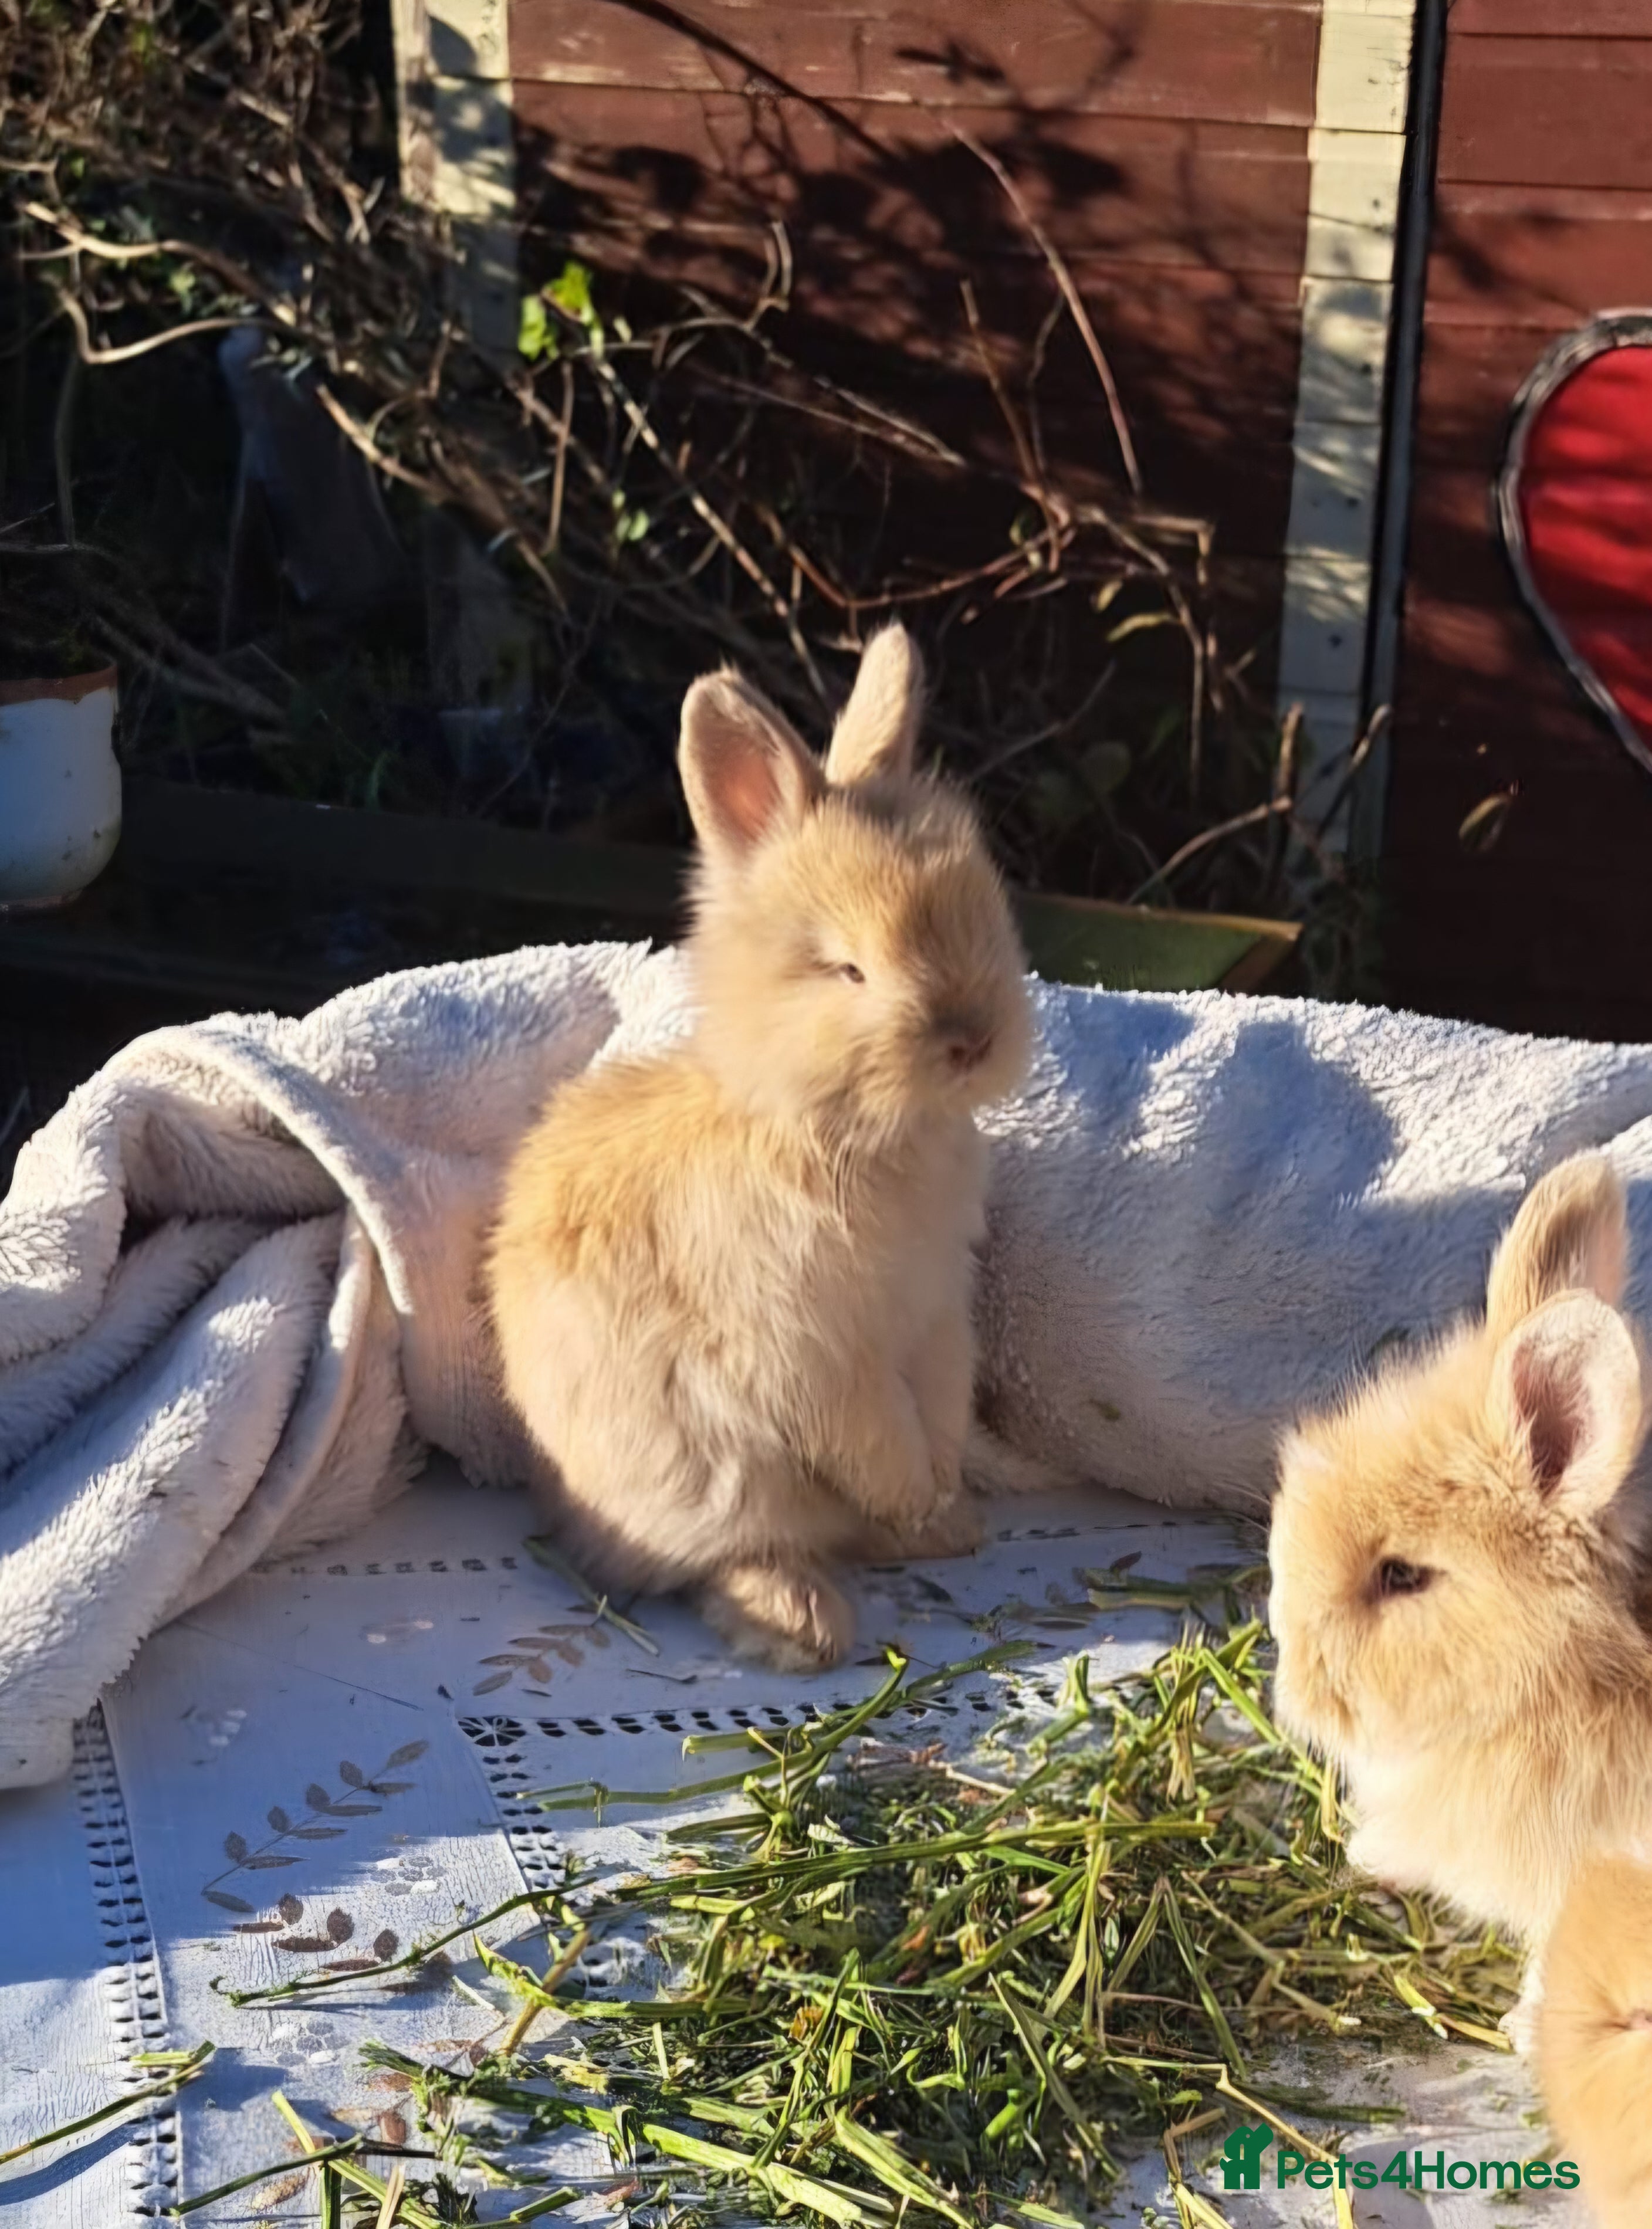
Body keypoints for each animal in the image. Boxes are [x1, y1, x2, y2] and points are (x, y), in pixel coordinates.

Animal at [486, 623, 1033, 1673]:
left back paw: (949, 1530)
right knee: (733, 1557)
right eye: (848, 968)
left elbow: (939, 1406)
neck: (838, 1130)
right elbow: (876, 1437)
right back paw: (804, 1618)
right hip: (716, 1477)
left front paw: (942, 1496)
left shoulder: (936, 1316)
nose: (972, 1040)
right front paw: (918, 1495)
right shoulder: (812, 1350)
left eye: (986, 910)